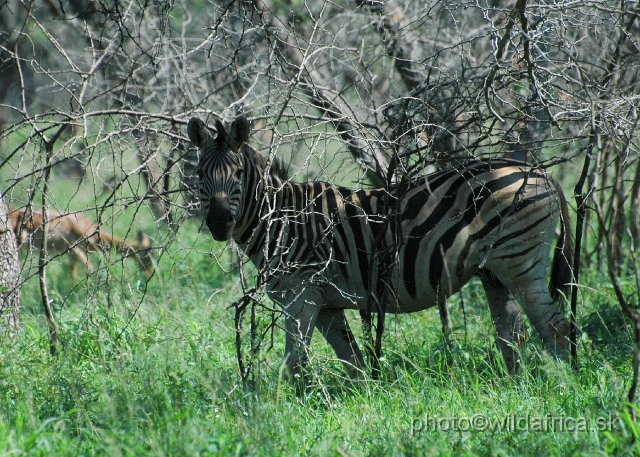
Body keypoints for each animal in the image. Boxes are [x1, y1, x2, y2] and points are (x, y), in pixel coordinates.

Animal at [188, 115, 572, 378]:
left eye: (238, 174)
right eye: (200, 174)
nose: (219, 223)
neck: (283, 220)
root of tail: (539, 171)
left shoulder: (302, 295)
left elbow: (294, 363)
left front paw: (290, 411)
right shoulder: (326, 302)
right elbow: (353, 361)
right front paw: (358, 403)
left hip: (520, 263)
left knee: (556, 329)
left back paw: (564, 385)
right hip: (494, 271)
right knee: (513, 335)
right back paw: (516, 386)